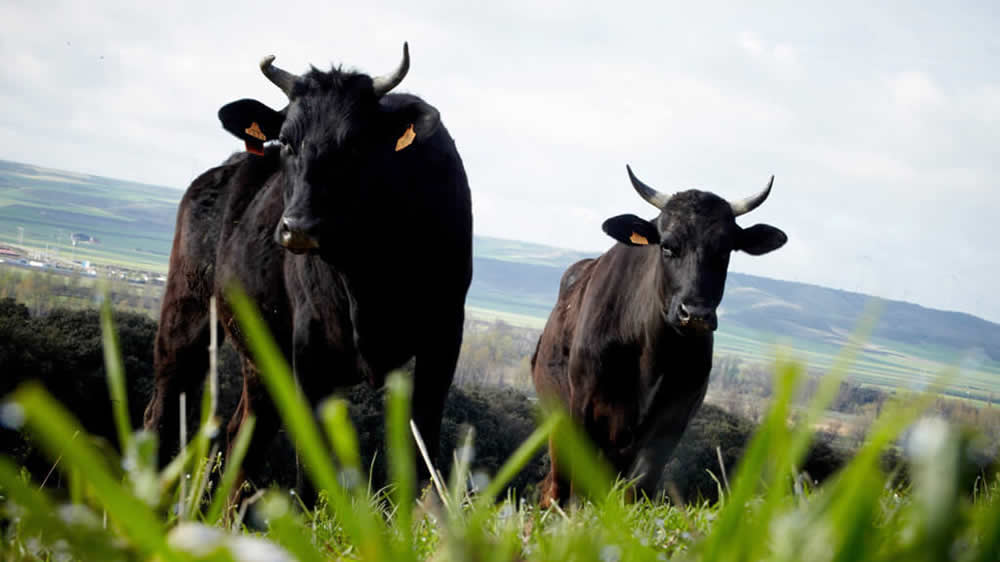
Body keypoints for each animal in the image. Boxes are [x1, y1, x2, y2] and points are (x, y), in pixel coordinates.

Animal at [143, 44, 474, 494]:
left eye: (355, 144)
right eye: (286, 142)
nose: (299, 227)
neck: (368, 274)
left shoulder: (443, 335)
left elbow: (422, 446)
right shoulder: (310, 348)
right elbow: (312, 463)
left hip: (260, 353)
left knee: (244, 434)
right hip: (186, 313)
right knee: (162, 411)